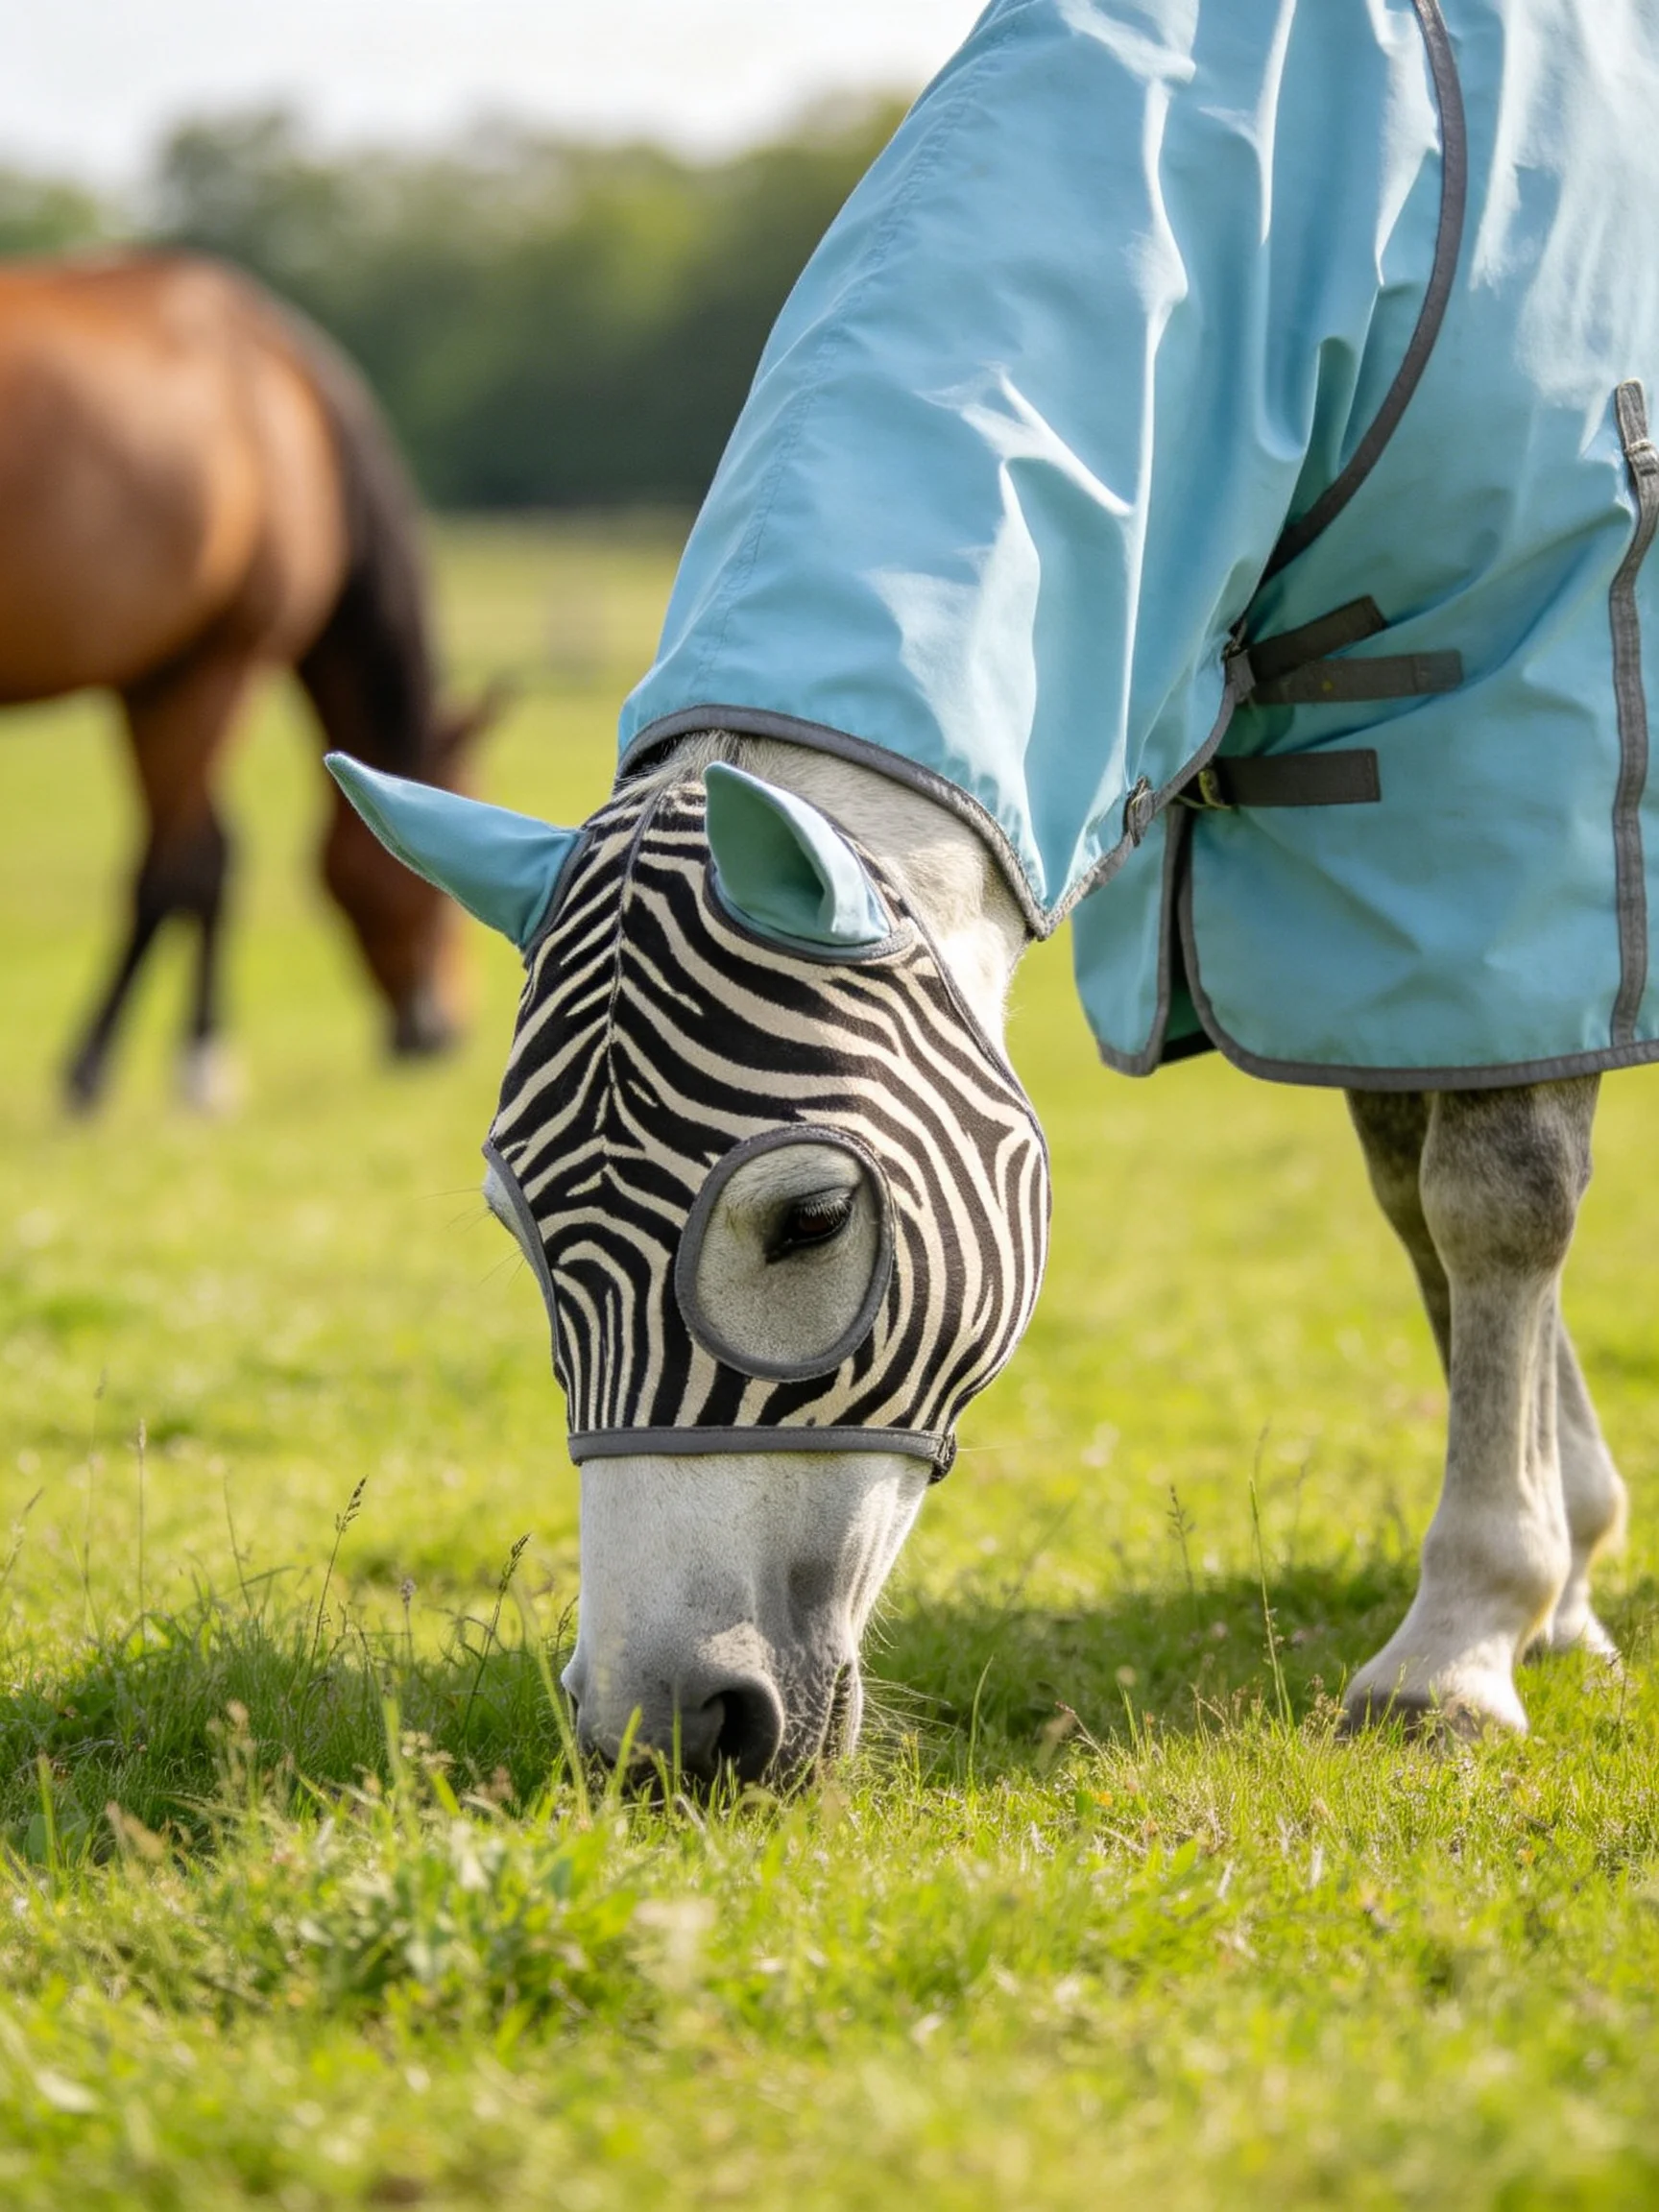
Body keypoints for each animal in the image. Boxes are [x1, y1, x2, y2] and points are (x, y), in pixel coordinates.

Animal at [0, 249, 493, 1108]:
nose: (439, 1032)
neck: (277, 404)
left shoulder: (158, 677)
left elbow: (190, 853)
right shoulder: (219, 660)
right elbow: (192, 864)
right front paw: (153, 1062)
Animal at [331, 0, 1655, 1783]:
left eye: (811, 1218)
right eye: (515, 1226)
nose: (661, 1735)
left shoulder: (1510, 730)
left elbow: (1499, 1195)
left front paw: (1462, 1639)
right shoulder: (1354, 875)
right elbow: (1418, 1194)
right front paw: (1561, 1585)